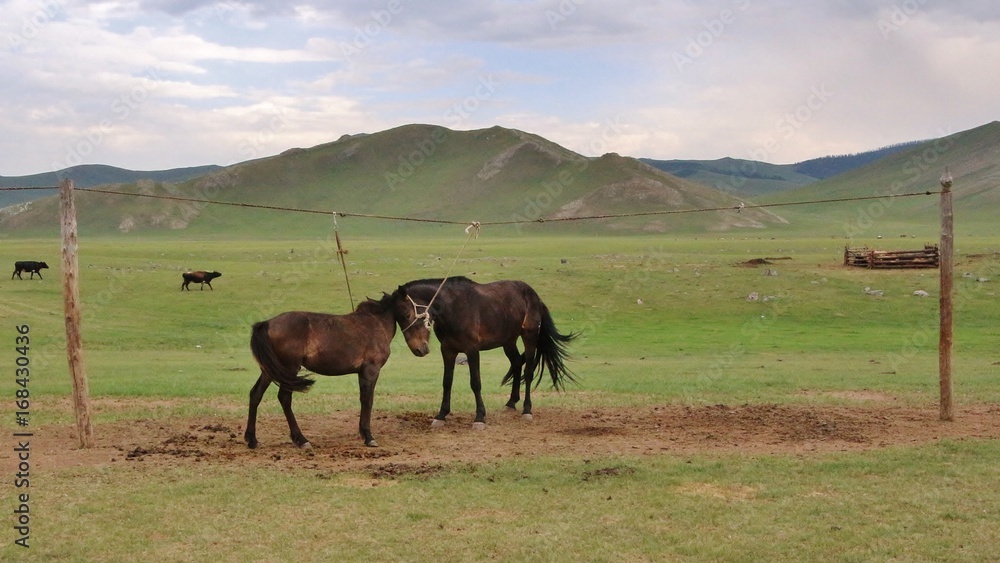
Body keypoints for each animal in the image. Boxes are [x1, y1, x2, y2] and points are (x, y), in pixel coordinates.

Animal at [244, 287, 431, 449]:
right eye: (408, 314)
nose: (423, 349)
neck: (376, 323)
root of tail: (267, 323)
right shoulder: (371, 370)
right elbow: (368, 400)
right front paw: (368, 437)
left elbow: (363, 399)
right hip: (289, 368)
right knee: (284, 398)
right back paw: (301, 439)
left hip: (271, 369)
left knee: (256, 394)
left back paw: (252, 439)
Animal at [399, 276, 577, 428]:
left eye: (407, 315)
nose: (418, 349)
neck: (454, 307)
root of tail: (536, 297)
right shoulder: (448, 350)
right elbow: (447, 382)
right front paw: (441, 415)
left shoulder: (472, 350)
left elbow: (475, 383)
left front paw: (479, 417)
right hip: (508, 341)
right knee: (517, 363)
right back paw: (511, 403)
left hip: (529, 337)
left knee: (528, 372)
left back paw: (527, 410)